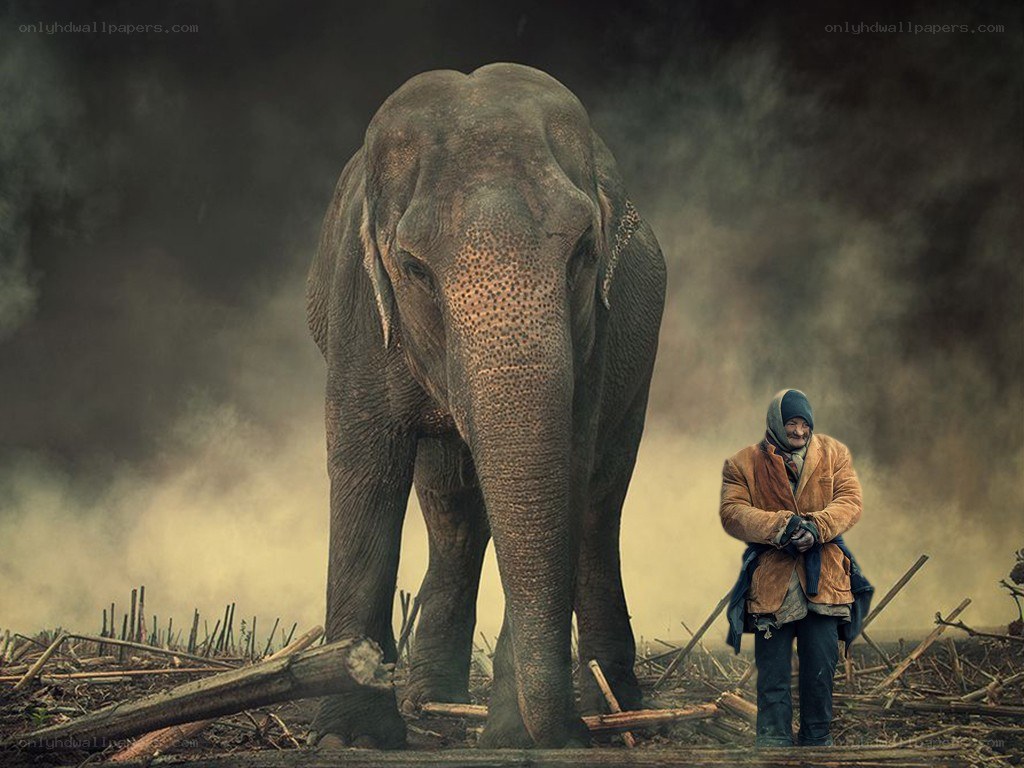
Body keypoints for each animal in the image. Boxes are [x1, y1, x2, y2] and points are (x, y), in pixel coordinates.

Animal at [305, 62, 666, 749]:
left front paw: (511, 737)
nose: (570, 734)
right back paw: (430, 702)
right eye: (415, 269)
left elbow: (570, 468)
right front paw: (353, 736)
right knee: (449, 504)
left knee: (601, 500)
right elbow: (365, 471)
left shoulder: (595, 337)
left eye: (584, 251)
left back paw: (613, 699)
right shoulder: (356, 309)